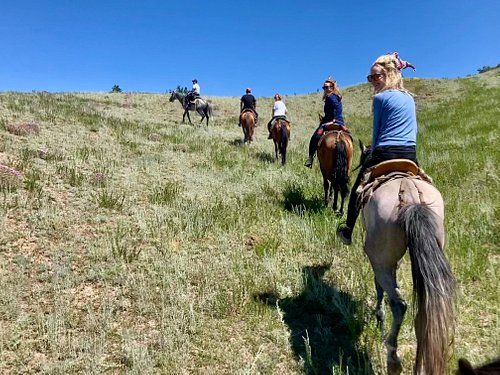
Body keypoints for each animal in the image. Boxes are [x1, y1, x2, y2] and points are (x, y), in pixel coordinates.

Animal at [360, 145, 458, 374]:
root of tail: (411, 196)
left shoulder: (379, 261)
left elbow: (379, 287)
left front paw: (379, 317)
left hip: (380, 261)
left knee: (399, 305)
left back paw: (393, 359)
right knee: (423, 312)